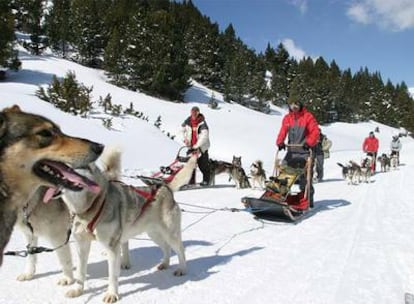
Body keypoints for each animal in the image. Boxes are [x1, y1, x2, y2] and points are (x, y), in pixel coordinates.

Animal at [0, 104, 103, 266]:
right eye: (45, 133)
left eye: (60, 130)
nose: (99, 146)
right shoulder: (31, 234)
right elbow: (32, 256)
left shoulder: (58, 235)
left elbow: (65, 262)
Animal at [55, 148, 196, 302]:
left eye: (68, 166)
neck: (91, 205)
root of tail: (164, 187)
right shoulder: (82, 245)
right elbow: (80, 272)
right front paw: (78, 290)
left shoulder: (112, 247)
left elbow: (112, 275)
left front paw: (111, 294)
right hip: (154, 234)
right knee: (166, 248)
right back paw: (165, 264)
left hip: (170, 234)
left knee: (180, 250)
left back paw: (182, 269)